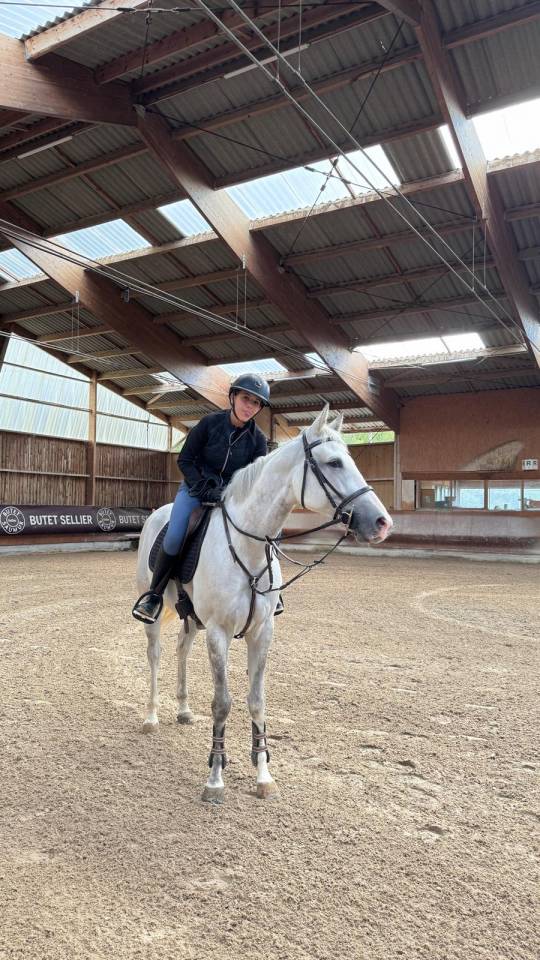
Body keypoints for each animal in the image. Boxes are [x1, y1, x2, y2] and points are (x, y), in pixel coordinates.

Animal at [135, 404, 393, 803]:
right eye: (334, 463)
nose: (382, 522)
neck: (248, 546)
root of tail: (156, 514)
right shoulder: (220, 633)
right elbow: (222, 703)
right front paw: (215, 778)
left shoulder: (262, 632)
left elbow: (257, 701)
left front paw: (263, 775)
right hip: (158, 608)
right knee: (156, 654)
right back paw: (151, 717)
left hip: (191, 617)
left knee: (181, 649)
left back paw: (183, 709)